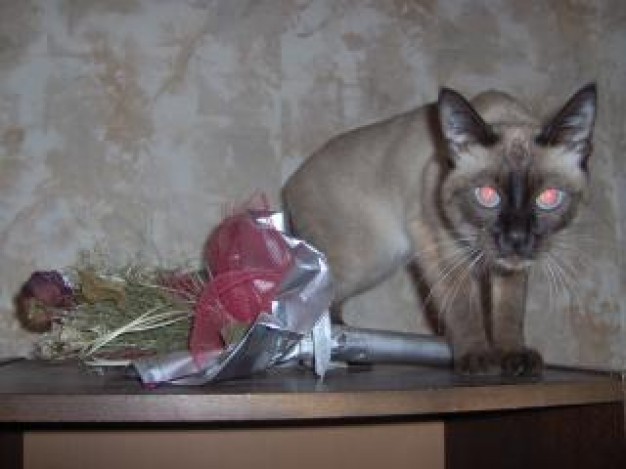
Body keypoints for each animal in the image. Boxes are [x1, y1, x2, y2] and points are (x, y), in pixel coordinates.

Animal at [282, 84, 596, 374]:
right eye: (487, 195)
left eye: (548, 198)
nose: (516, 237)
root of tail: (291, 183)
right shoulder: (440, 245)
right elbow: (463, 307)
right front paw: (478, 359)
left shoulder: (511, 266)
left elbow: (509, 310)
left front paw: (513, 357)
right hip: (364, 263)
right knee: (315, 300)